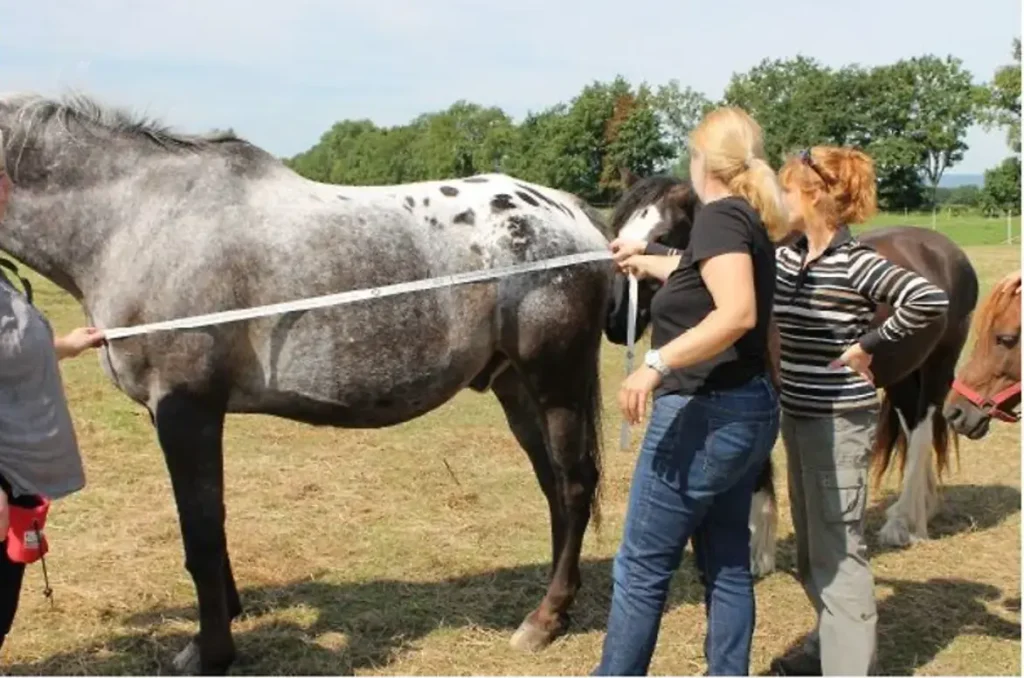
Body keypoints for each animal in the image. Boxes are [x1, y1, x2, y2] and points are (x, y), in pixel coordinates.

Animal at [0, 92, 618, 674]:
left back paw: (544, 619)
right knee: (552, 486)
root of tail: (571, 212)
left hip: (556, 382)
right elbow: (212, 525)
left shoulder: (186, 410)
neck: (135, 219)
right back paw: (554, 606)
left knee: (573, 484)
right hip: (516, 387)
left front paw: (211, 651)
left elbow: (200, 532)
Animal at [604, 170, 979, 575]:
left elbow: (758, 469)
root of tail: (946, 250)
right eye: (618, 230)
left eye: (661, 236)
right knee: (913, 432)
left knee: (923, 433)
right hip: (902, 375)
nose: (615, 319)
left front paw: (757, 553)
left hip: (938, 366)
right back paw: (916, 511)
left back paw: (906, 524)